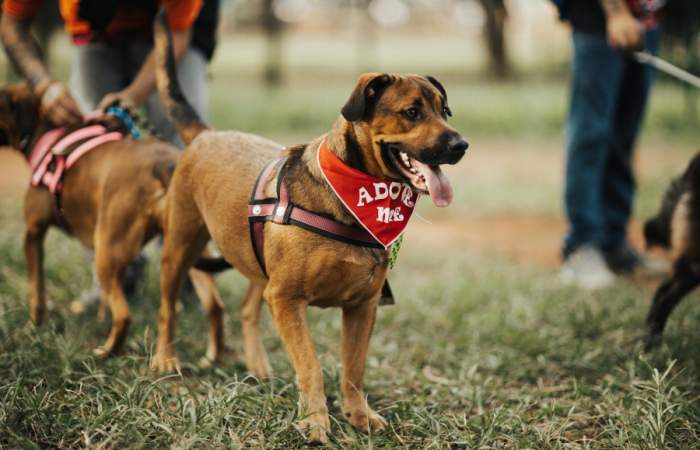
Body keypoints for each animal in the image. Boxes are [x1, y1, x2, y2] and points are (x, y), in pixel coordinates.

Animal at [0, 84, 227, 366]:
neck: (48, 131)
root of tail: (166, 163)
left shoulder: (33, 233)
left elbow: (37, 291)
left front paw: (35, 327)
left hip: (107, 253)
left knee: (125, 315)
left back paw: (109, 352)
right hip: (186, 251)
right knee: (214, 306)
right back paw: (211, 357)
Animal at [154, 10, 470, 442]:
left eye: (443, 110)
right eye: (412, 112)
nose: (461, 145)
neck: (354, 195)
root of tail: (207, 135)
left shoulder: (362, 306)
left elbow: (353, 369)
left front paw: (357, 414)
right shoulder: (287, 299)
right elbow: (311, 366)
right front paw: (316, 421)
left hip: (257, 263)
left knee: (248, 309)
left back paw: (257, 367)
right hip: (180, 248)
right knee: (167, 307)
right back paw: (164, 359)